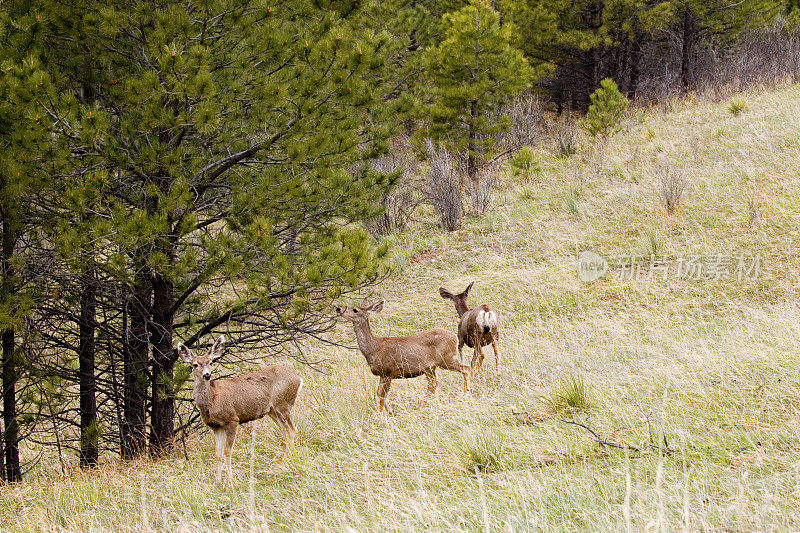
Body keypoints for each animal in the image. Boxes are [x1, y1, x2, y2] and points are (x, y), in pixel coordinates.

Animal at [178, 336, 304, 482]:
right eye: (195, 364)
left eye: (210, 362)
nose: (207, 375)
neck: (212, 400)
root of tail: (299, 378)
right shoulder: (216, 426)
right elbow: (217, 453)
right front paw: (217, 481)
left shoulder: (232, 419)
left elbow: (227, 450)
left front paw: (230, 480)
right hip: (272, 410)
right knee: (286, 432)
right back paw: (281, 463)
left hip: (282, 405)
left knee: (292, 430)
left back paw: (283, 464)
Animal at [336, 300, 472, 412]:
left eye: (355, 310)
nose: (338, 309)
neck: (374, 349)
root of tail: (455, 338)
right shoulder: (382, 374)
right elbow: (379, 393)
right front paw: (390, 412)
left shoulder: (387, 371)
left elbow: (381, 395)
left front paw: (380, 416)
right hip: (430, 367)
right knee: (433, 385)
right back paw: (421, 405)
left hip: (445, 358)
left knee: (466, 368)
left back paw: (466, 394)